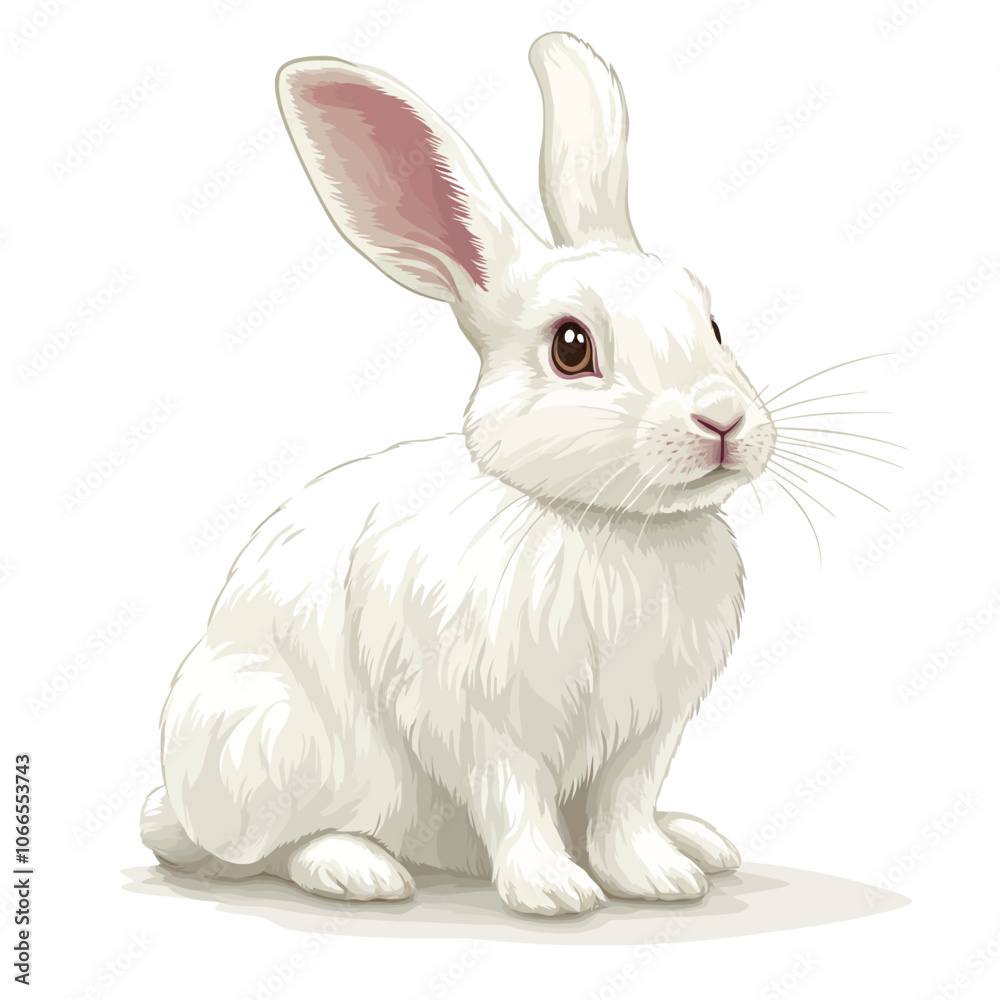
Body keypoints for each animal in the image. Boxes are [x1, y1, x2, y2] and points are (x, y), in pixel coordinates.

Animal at [140, 31, 777, 916]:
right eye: (571, 347)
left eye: (712, 322)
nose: (722, 422)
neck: (605, 522)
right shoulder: (480, 720)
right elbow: (513, 800)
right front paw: (555, 892)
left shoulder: (649, 730)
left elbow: (624, 807)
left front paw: (658, 877)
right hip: (266, 744)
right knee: (265, 851)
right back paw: (359, 870)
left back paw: (697, 840)